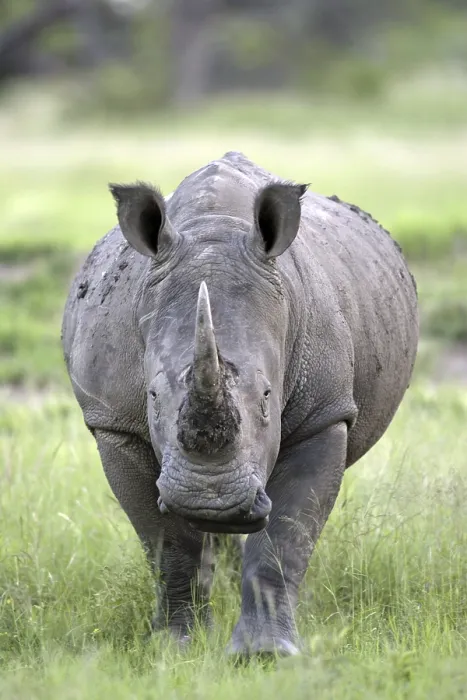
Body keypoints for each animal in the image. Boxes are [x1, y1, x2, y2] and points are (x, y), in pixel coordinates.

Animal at [61, 151, 418, 658]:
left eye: (268, 396)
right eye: (152, 397)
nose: (211, 503)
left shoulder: (324, 413)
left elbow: (285, 536)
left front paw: (265, 655)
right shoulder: (115, 423)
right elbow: (166, 543)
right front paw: (177, 648)